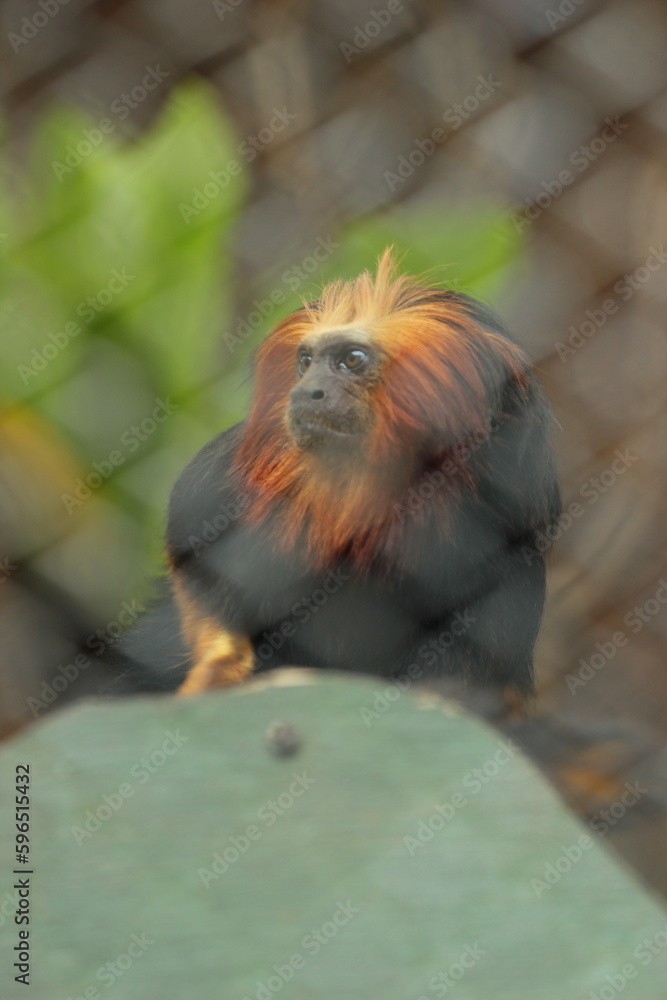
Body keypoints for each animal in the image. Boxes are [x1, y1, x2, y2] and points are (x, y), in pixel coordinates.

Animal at [116, 250, 561, 708]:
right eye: (306, 362)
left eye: (352, 360)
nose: (305, 392)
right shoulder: (213, 484)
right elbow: (196, 581)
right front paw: (220, 668)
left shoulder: (507, 537)